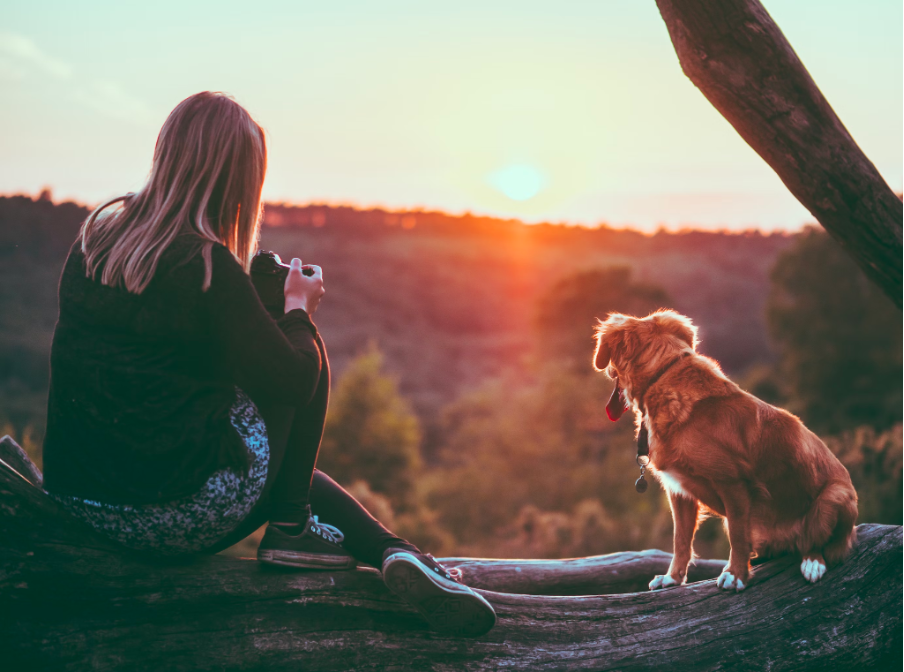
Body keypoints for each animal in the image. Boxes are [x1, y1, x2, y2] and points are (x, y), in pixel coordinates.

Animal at [596, 312, 860, 592]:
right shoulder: (679, 491)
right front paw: (673, 578)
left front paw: (735, 575)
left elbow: (737, 535)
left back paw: (812, 563)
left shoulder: (733, 483)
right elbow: (681, 540)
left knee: (820, 543)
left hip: (834, 496)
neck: (663, 376)